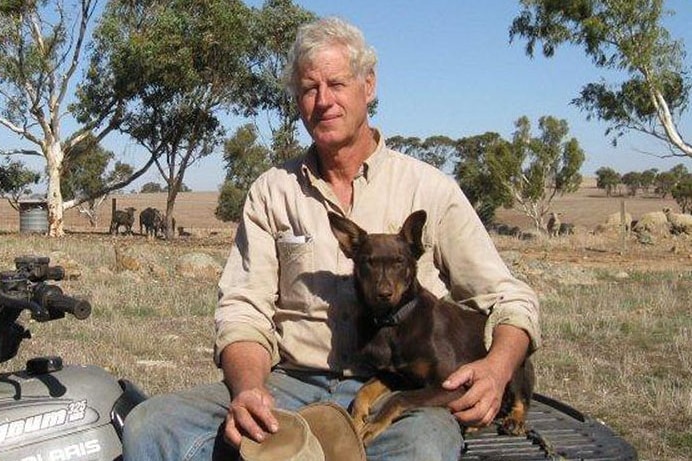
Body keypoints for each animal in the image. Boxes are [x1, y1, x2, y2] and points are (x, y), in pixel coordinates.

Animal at [330, 210, 536, 444]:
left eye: (400, 261)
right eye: (368, 262)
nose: (384, 294)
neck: (393, 321)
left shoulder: (452, 385)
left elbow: (399, 398)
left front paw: (373, 425)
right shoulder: (394, 375)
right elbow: (363, 391)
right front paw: (356, 419)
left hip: (516, 367)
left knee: (519, 400)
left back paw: (514, 421)